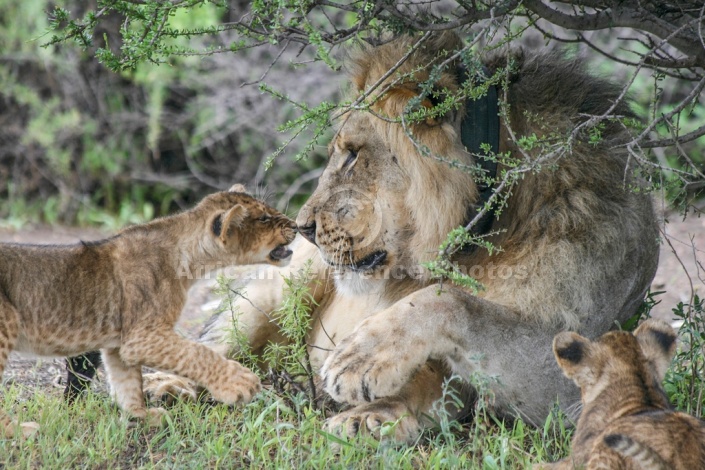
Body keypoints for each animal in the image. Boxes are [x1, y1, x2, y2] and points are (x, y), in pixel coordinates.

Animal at [144, 35, 660, 442]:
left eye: (353, 155)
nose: (303, 227)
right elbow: (447, 302)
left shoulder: (564, 385)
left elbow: (449, 305)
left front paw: (366, 394)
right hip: (281, 290)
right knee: (220, 341)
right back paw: (165, 385)